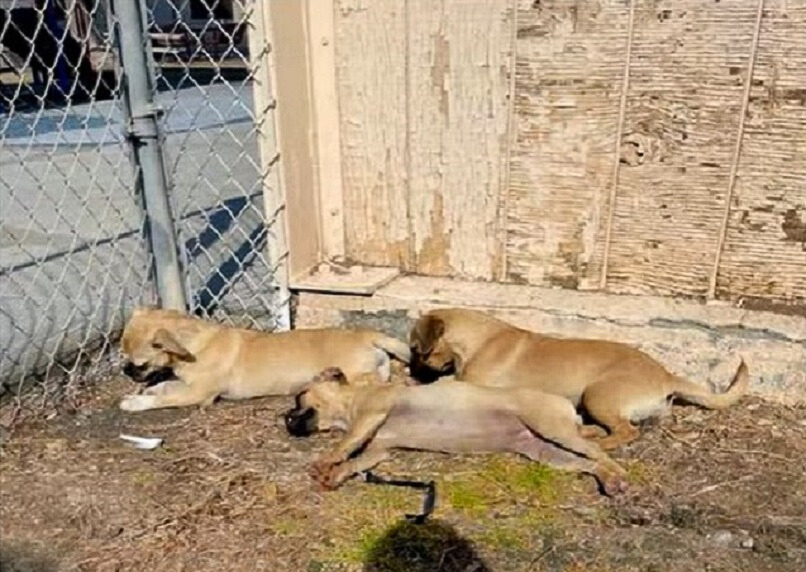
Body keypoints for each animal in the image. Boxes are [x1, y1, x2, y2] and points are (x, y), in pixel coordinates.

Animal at [115, 308, 410, 412]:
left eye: (140, 364)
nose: (127, 371)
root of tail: (367, 334)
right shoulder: (186, 384)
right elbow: (164, 386)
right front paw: (147, 391)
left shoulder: (197, 394)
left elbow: (164, 398)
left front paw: (136, 402)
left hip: (356, 377)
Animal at [284, 366, 632, 496]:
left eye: (299, 397)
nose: (285, 417)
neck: (352, 402)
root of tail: (568, 407)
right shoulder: (378, 450)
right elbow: (357, 460)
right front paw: (338, 474)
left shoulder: (371, 415)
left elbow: (344, 445)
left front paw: (326, 462)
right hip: (546, 452)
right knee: (588, 463)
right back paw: (608, 479)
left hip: (551, 427)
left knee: (598, 452)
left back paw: (617, 474)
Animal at [410, 310, 752, 450]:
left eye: (416, 349)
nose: (416, 368)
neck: (480, 339)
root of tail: (666, 375)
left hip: (596, 395)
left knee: (626, 432)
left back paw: (601, 441)